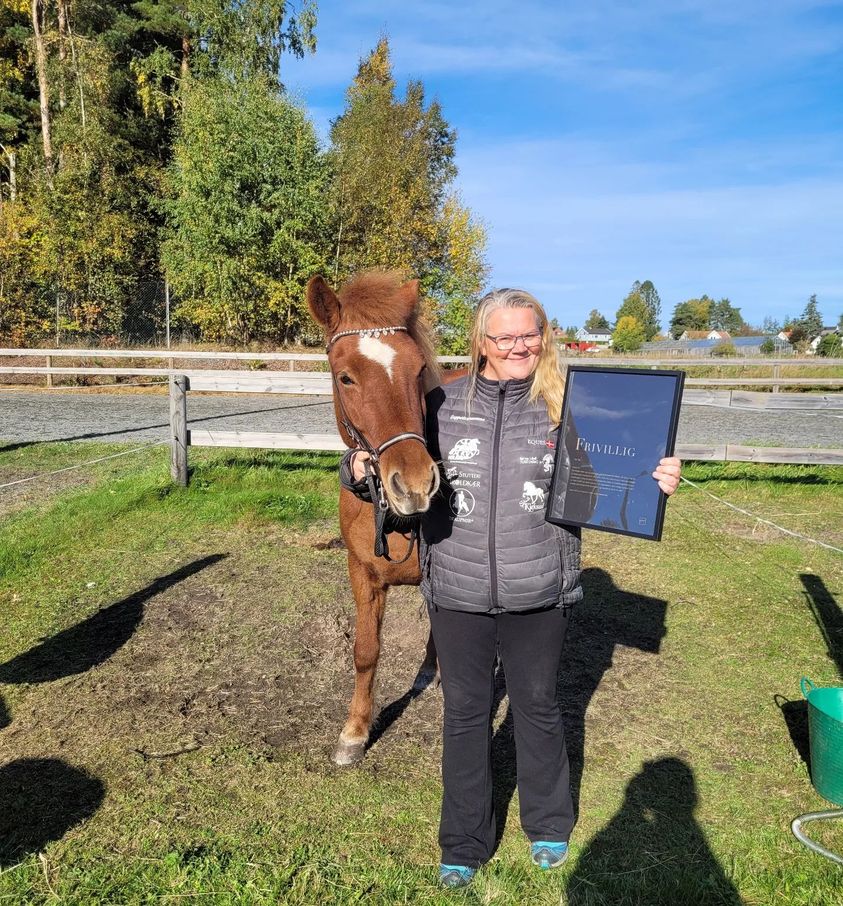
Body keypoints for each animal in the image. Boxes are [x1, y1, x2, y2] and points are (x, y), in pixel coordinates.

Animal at [306, 268, 446, 764]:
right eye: (345, 377)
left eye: (419, 369)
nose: (415, 484)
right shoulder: (362, 572)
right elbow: (366, 651)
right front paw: (355, 731)